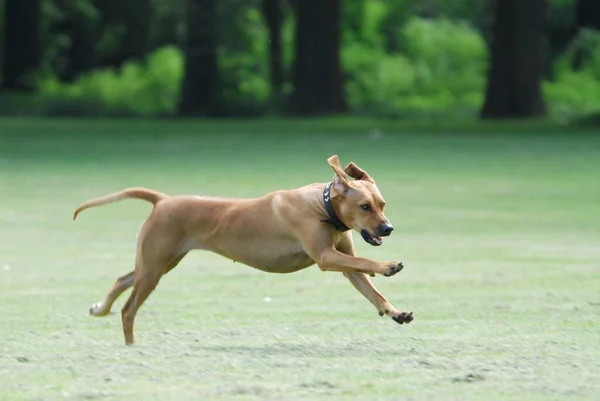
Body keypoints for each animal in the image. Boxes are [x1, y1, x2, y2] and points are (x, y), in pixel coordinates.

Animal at [74, 155, 412, 342]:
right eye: (365, 206)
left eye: (382, 204)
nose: (388, 228)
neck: (323, 206)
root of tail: (163, 200)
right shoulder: (327, 257)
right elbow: (366, 261)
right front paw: (388, 266)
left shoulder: (345, 260)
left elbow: (370, 288)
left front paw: (395, 311)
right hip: (155, 266)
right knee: (128, 310)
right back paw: (131, 345)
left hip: (158, 262)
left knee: (123, 278)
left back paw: (100, 308)